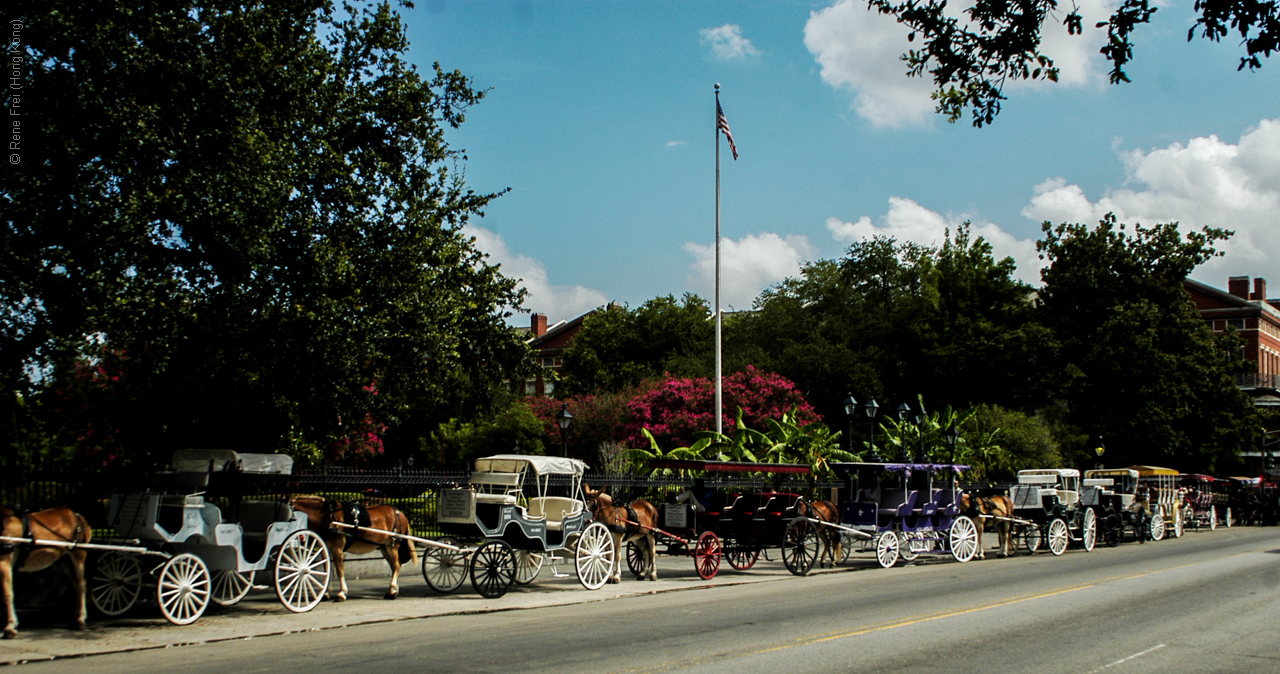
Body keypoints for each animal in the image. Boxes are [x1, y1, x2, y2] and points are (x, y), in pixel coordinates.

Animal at [1, 506, 90, 639]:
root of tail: (77, 515)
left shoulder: (4, 562)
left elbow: (8, 594)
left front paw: (10, 627)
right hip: (65, 560)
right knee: (76, 586)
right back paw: (75, 619)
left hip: (78, 555)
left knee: (81, 585)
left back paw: (80, 620)